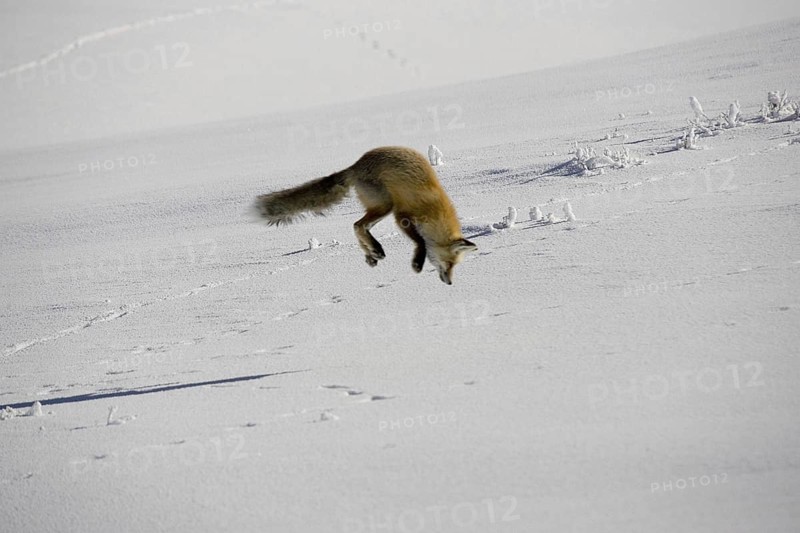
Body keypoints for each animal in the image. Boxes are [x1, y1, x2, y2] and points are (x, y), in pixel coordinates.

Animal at [253, 146, 477, 284]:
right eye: (449, 264)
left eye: (455, 266)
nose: (450, 282)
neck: (434, 211)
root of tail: (357, 164)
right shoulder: (402, 216)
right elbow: (420, 241)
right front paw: (417, 263)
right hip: (385, 205)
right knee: (358, 225)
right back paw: (375, 250)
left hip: (380, 207)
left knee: (359, 226)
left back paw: (371, 254)